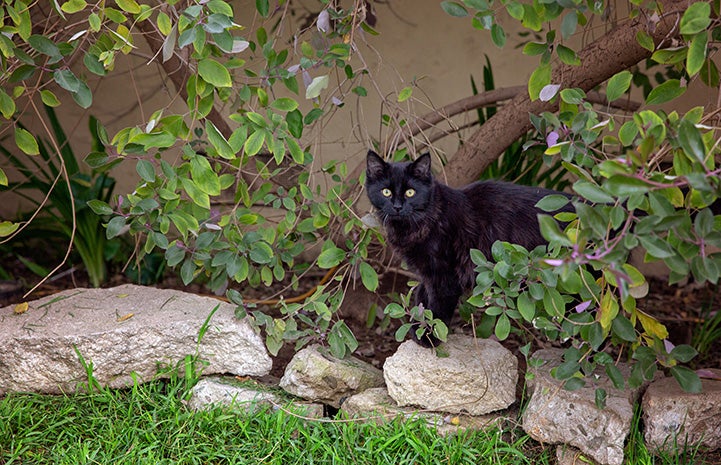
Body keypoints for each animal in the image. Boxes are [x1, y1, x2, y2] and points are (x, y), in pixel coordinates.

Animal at [366, 150, 572, 346]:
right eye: (386, 192)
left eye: (410, 192)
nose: (397, 207)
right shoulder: (428, 272)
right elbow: (421, 296)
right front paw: (418, 327)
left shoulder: (445, 275)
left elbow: (437, 308)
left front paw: (429, 337)